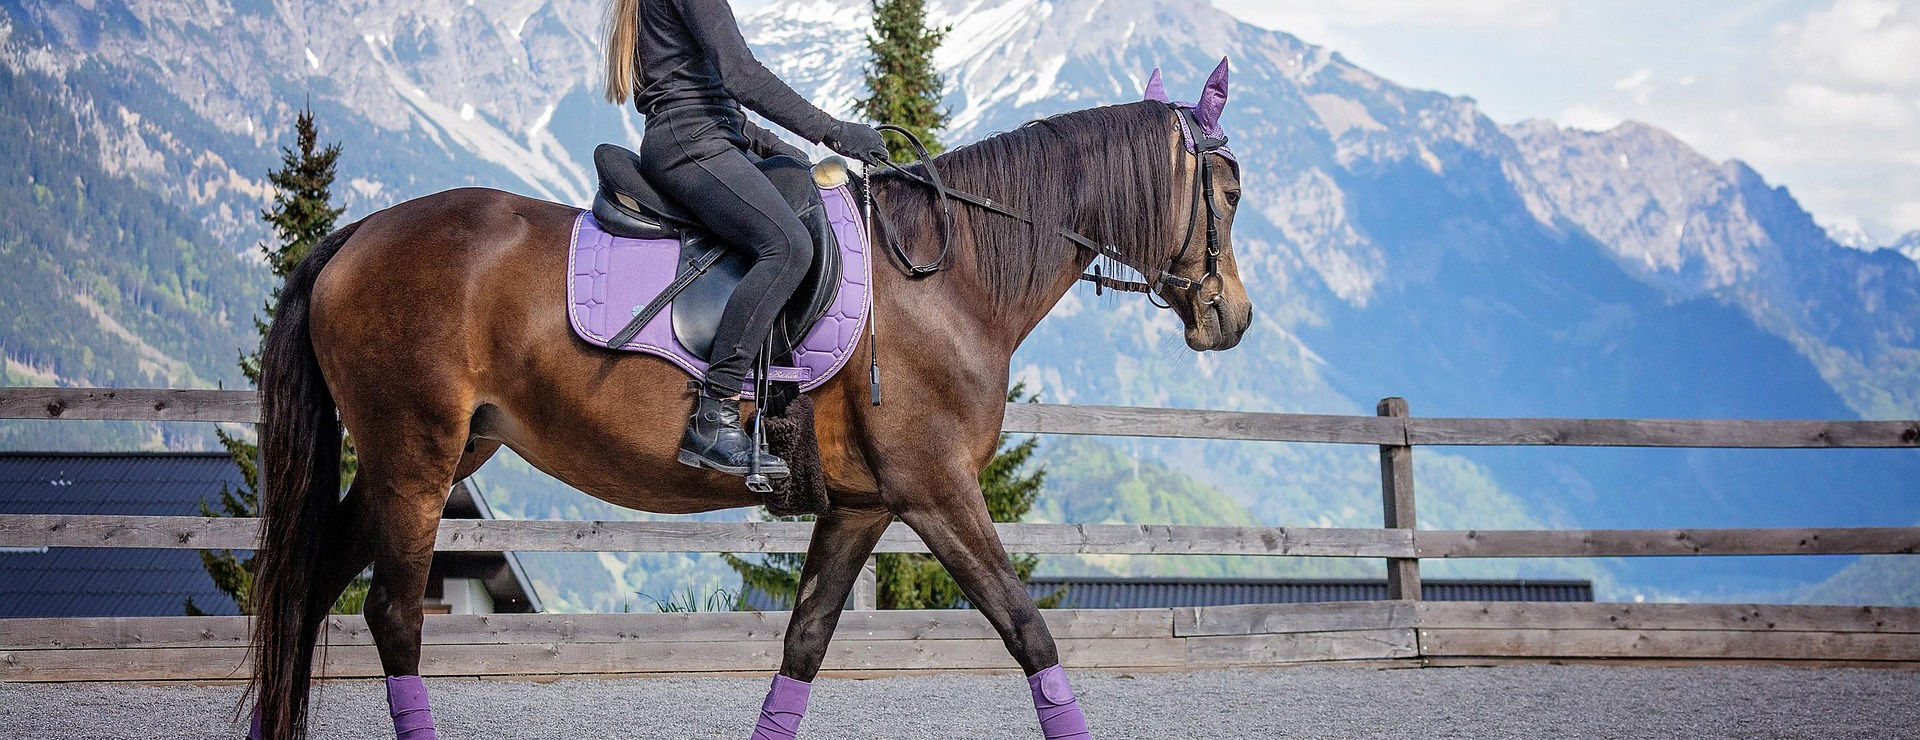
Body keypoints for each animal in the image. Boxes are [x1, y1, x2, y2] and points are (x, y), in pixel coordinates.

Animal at [246, 64, 1252, 739]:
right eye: (1230, 190)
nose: (1231, 317)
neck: (949, 277)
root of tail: (358, 235)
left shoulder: (861, 506)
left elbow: (804, 644)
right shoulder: (936, 491)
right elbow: (1029, 630)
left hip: (431, 456)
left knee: (302, 590)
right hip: (414, 457)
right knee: (391, 616)